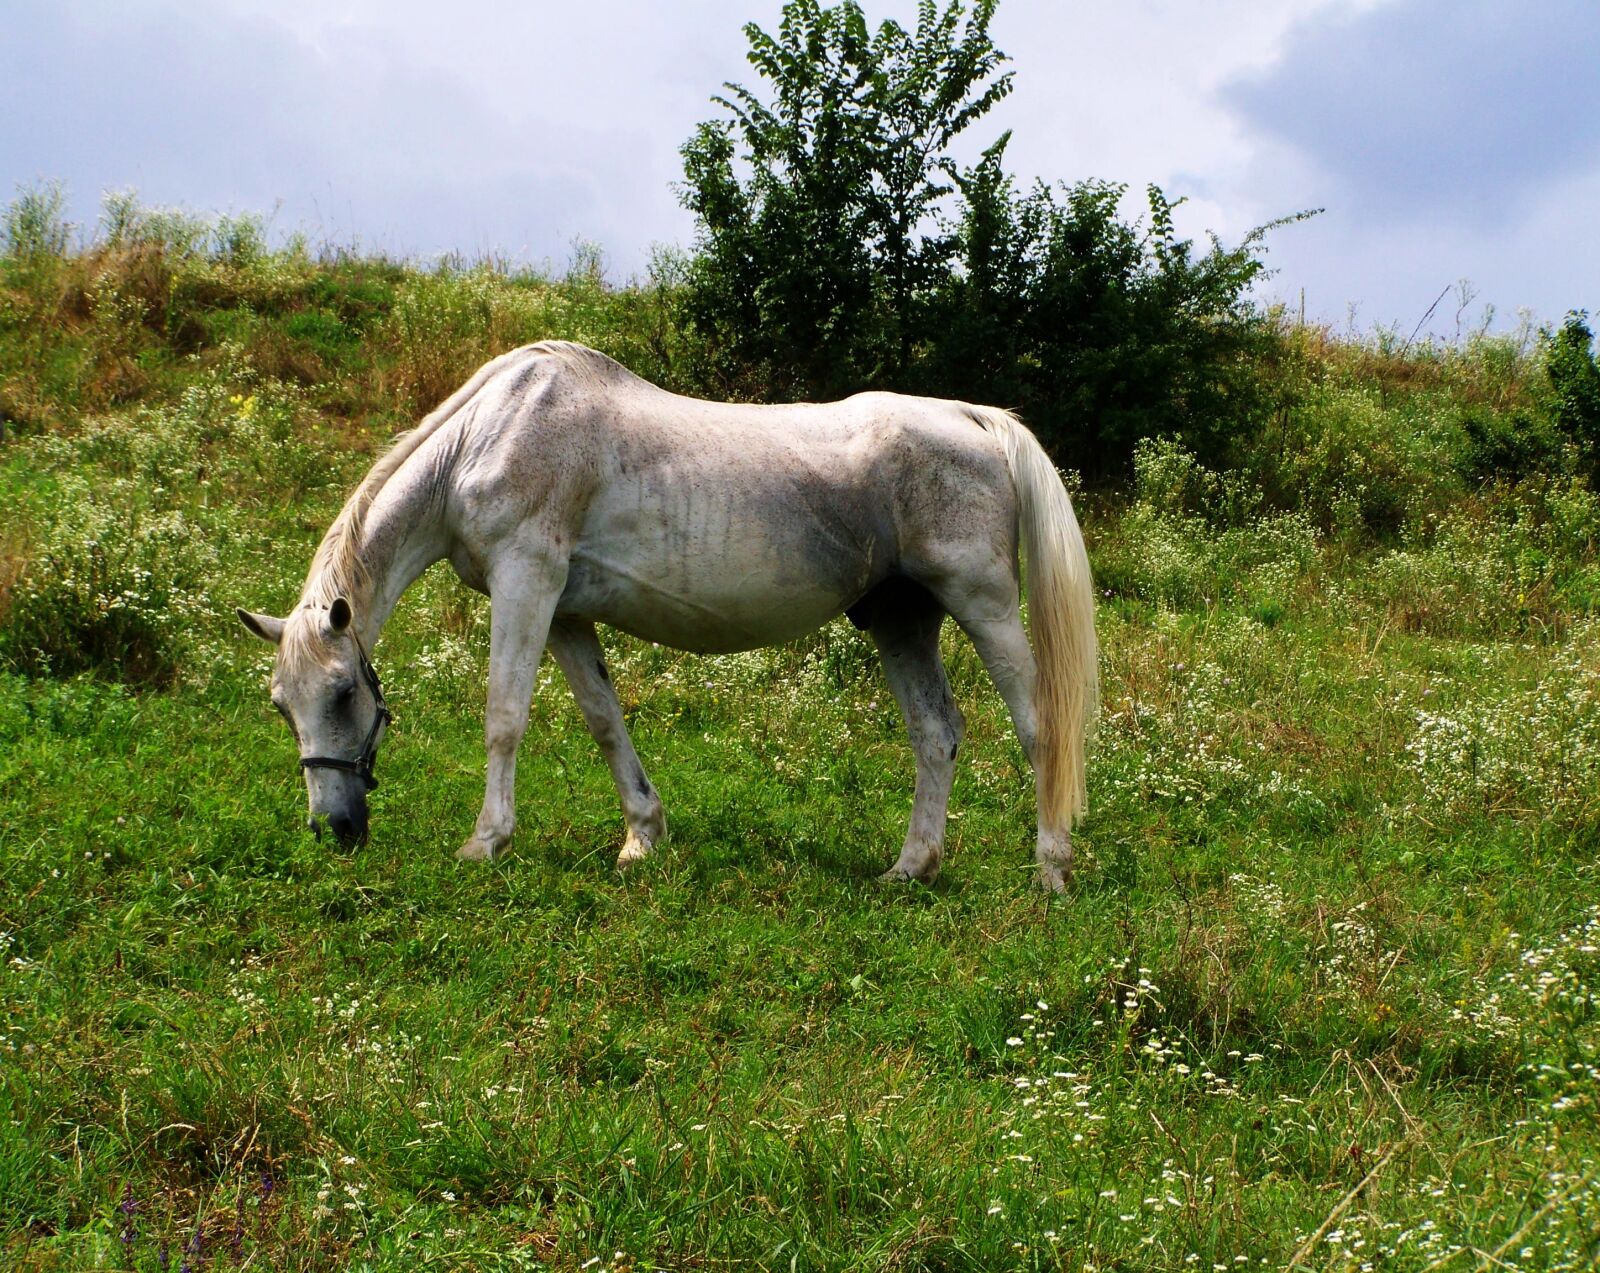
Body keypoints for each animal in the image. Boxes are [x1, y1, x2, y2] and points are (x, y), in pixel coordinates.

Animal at [238, 341, 1097, 889]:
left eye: (344, 693)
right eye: (281, 706)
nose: (334, 829)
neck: (487, 436)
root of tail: (974, 417)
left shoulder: (527, 580)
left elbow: (504, 717)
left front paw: (486, 841)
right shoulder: (564, 612)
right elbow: (604, 719)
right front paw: (640, 837)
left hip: (982, 603)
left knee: (1038, 727)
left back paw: (1050, 870)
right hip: (899, 618)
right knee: (935, 733)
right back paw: (910, 867)